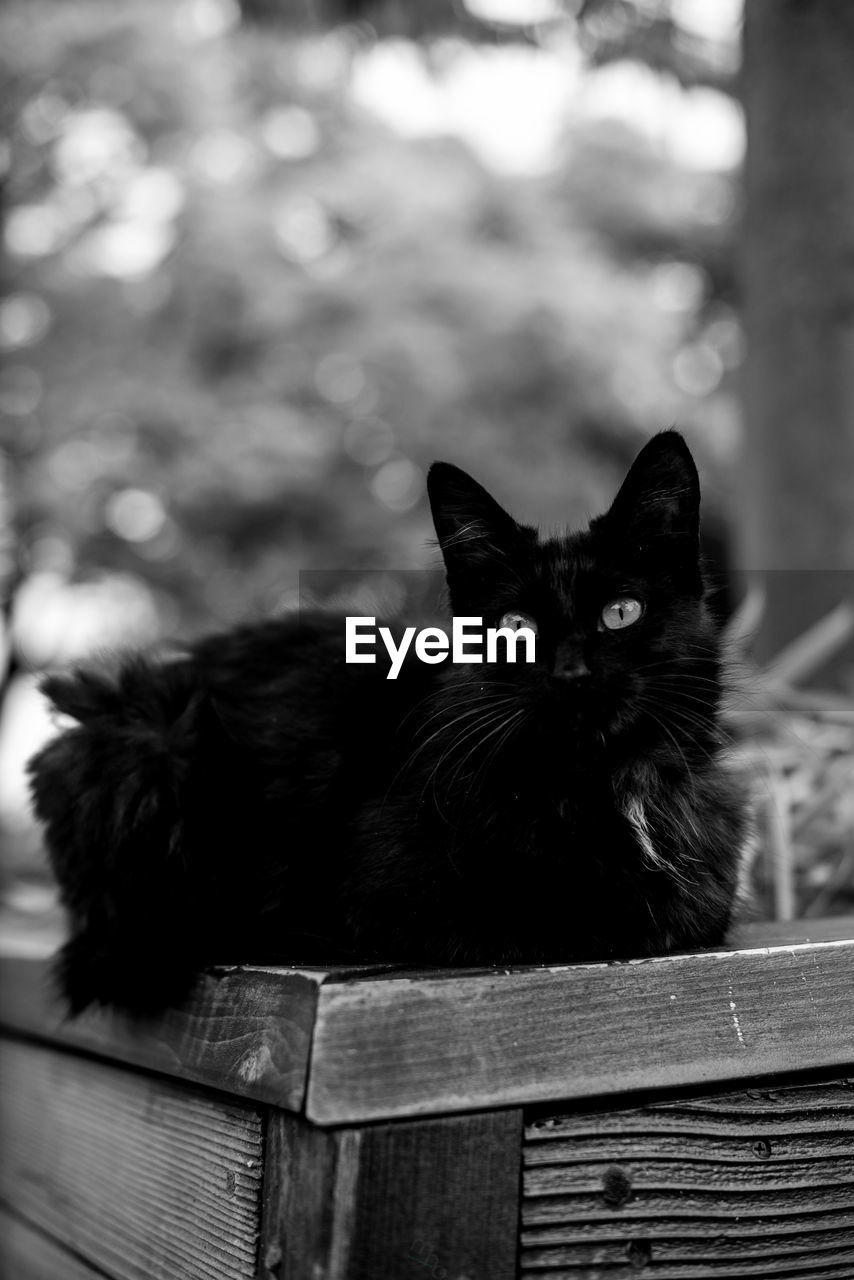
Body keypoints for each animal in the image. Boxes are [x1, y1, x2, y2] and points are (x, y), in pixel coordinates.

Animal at [28, 430, 747, 1008]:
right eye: (516, 627)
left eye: (621, 612)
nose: (570, 674)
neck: (606, 786)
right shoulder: (394, 897)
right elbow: (572, 910)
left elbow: (695, 906)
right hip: (149, 735)